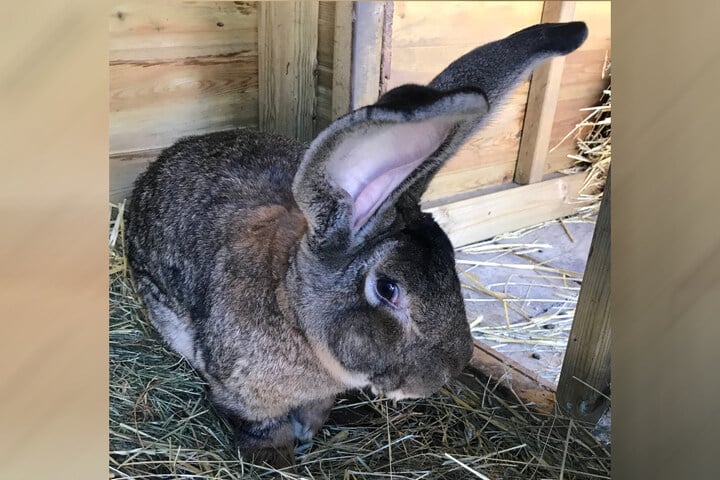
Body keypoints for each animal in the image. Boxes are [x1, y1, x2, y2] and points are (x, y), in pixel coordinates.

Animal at [125, 21, 588, 467]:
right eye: (388, 288)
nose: (446, 373)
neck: (291, 306)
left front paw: (308, 434)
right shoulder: (243, 395)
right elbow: (261, 428)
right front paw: (279, 457)